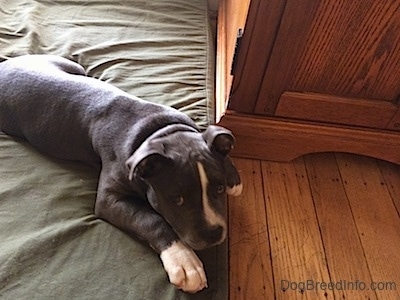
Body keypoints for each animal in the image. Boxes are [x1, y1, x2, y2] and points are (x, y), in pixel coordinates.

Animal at [0, 55, 242, 294]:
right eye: (176, 199)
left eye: (219, 187)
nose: (213, 233)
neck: (160, 131)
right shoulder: (110, 199)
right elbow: (151, 219)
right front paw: (184, 261)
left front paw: (233, 178)